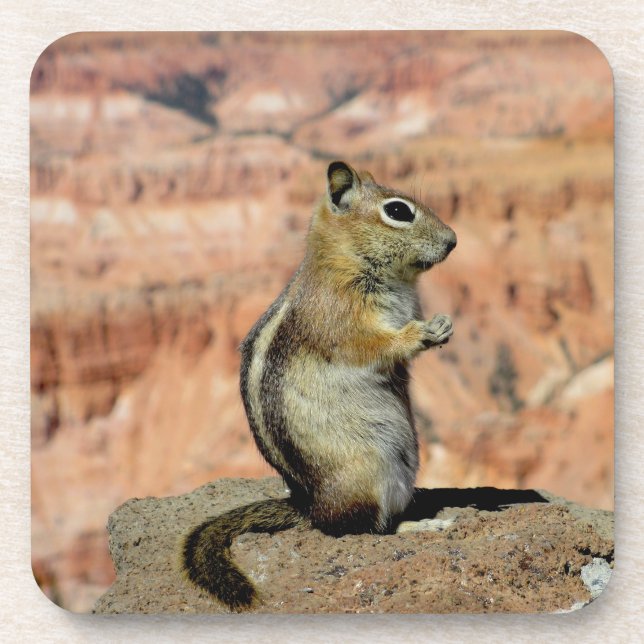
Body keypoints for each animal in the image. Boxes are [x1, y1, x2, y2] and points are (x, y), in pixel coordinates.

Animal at [181, 160, 457, 610]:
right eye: (399, 211)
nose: (453, 241)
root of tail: (310, 506)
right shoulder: (342, 317)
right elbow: (374, 346)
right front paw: (420, 334)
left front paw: (443, 325)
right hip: (369, 474)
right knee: (360, 530)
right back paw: (421, 526)